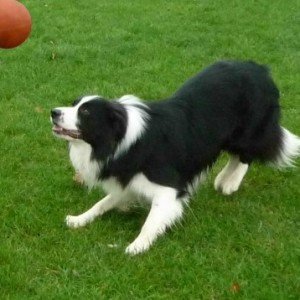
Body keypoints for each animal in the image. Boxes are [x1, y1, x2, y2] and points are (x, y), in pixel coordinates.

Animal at [50, 59, 298, 254]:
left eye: (85, 112)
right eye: (74, 104)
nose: (53, 112)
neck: (121, 138)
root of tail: (260, 68)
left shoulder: (167, 188)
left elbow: (151, 221)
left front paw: (136, 246)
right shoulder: (129, 181)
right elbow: (102, 203)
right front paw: (79, 219)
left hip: (248, 131)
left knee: (247, 154)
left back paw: (231, 183)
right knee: (234, 156)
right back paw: (223, 178)